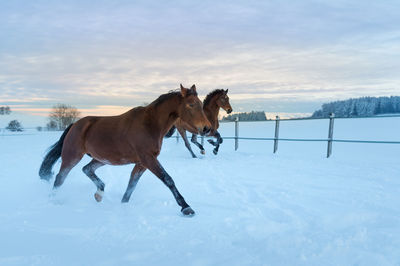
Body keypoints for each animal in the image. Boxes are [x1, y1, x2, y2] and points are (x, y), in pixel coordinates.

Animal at [38, 84, 211, 216]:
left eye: (200, 104)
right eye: (191, 104)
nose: (207, 128)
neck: (150, 124)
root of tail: (75, 125)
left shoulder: (142, 163)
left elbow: (131, 184)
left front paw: (123, 204)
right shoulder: (148, 159)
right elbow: (168, 179)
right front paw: (186, 207)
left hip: (101, 159)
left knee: (86, 169)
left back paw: (99, 193)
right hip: (72, 156)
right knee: (60, 178)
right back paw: (54, 201)